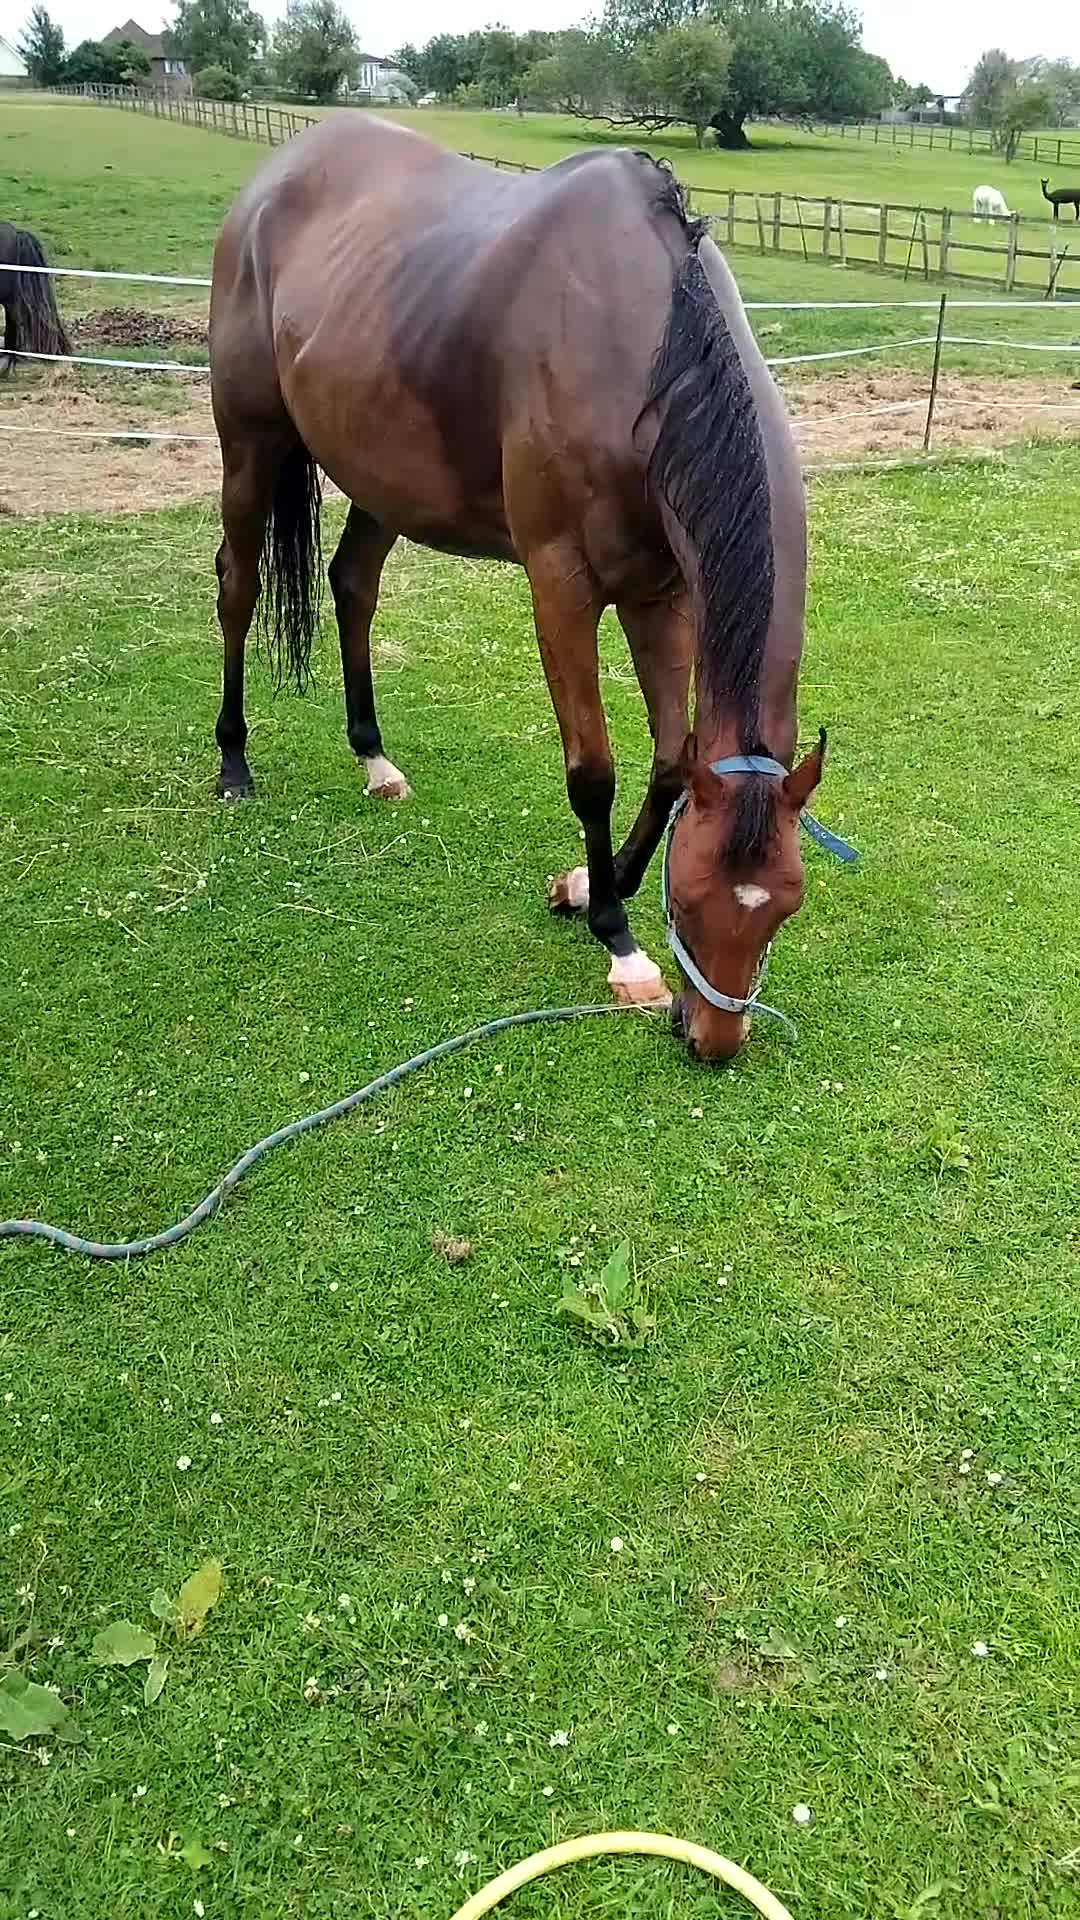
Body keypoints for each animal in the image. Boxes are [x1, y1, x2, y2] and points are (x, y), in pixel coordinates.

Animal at [208, 115, 825, 1064]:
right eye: (688, 901)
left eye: (783, 906)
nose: (714, 1041)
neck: (647, 347)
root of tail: (272, 179)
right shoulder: (561, 587)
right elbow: (594, 770)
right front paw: (617, 939)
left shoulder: (661, 595)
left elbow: (671, 761)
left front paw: (592, 884)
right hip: (248, 447)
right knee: (236, 590)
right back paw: (234, 762)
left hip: (383, 478)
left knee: (351, 586)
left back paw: (374, 758)